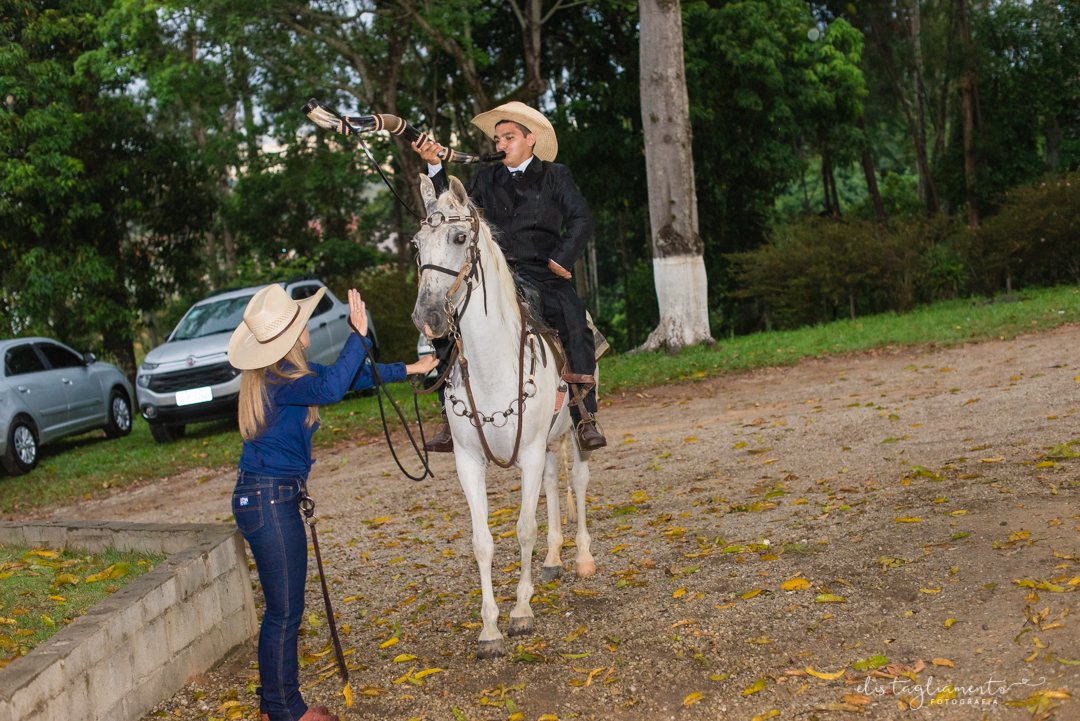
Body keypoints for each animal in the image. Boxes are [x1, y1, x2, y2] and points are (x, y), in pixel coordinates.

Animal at [411, 174, 595, 659]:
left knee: (577, 482)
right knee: (552, 482)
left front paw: (522, 612)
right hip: (547, 444)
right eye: (416, 244)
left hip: (573, 433)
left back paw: (582, 557)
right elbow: (483, 543)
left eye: (459, 237)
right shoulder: (469, 463)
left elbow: (525, 529)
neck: (493, 364)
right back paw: (553, 559)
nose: (428, 317)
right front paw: (490, 629)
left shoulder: (528, 452)